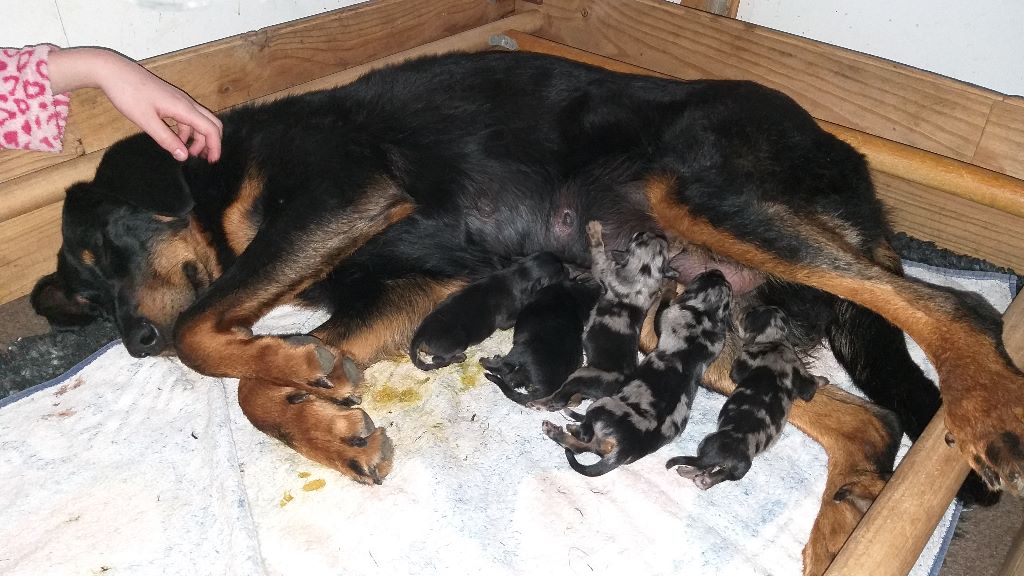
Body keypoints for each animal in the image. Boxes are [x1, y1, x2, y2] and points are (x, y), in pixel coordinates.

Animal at [407, 250, 569, 366]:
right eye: (561, 270)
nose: (570, 269)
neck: (519, 274)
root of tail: (419, 335)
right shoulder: (505, 321)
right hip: (457, 343)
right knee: (438, 359)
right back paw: (459, 358)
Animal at [528, 219, 679, 407]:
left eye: (638, 238)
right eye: (659, 242)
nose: (645, 231)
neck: (643, 273)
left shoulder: (603, 269)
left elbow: (598, 250)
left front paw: (594, 229)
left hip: (580, 375)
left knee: (558, 399)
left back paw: (538, 402)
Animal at [540, 268, 733, 475]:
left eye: (703, 277)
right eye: (724, 282)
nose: (717, 270)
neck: (705, 315)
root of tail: (624, 448)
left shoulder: (665, 316)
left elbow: (664, 301)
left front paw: (669, 285)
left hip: (602, 404)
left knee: (583, 436)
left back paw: (560, 428)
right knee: (581, 446)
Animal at [667, 303, 827, 485]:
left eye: (748, 314)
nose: (741, 310)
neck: (775, 340)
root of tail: (734, 452)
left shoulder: (744, 359)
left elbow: (735, 372)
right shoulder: (800, 373)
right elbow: (811, 386)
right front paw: (822, 380)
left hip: (706, 443)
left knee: (701, 466)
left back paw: (685, 471)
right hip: (733, 470)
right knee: (712, 476)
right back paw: (702, 479)